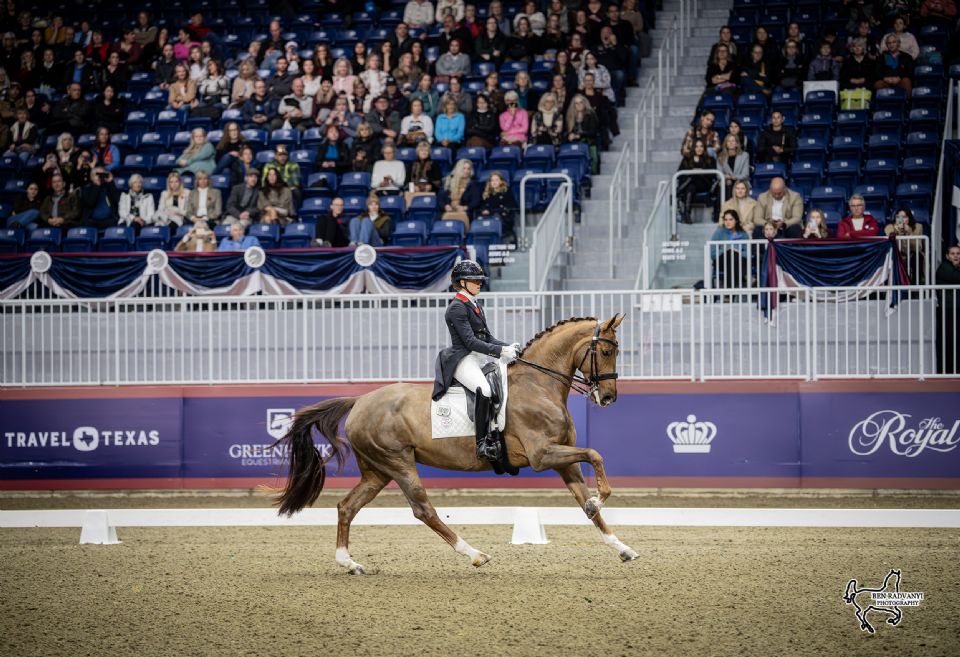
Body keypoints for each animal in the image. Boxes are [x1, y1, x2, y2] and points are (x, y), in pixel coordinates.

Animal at [274, 314, 638, 574]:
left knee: (347, 507)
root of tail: (360, 400)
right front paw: (599, 498)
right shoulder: (542, 455)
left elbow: (585, 499)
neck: (539, 385)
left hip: (377, 471)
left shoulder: (562, 459)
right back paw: (475, 554)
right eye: (606, 351)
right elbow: (596, 454)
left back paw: (349, 563)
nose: (608, 397)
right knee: (423, 510)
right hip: (398, 462)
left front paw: (620, 545)